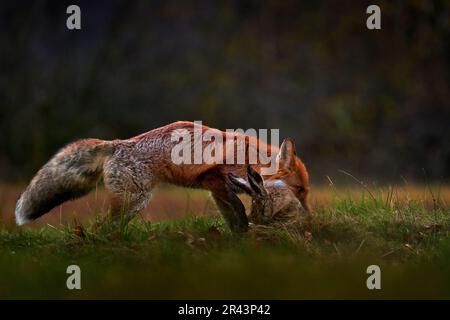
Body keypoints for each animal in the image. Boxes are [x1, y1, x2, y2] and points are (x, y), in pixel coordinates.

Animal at [14, 120, 310, 232]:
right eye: (300, 191)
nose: (309, 216)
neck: (252, 160)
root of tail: (119, 143)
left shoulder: (216, 189)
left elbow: (234, 216)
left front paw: (240, 237)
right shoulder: (217, 178)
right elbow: (238, 208)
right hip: (135, 200)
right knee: (105, 226)